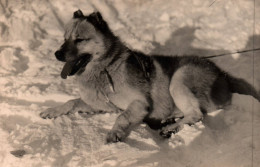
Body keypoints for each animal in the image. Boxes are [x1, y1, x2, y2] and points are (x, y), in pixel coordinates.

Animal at [39, 9, 260, 142]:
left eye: (79, 40)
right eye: (64, 39)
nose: (57, 54)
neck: (107, 67)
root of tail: (222, 74)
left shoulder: (139, 103)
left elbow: (122, 116)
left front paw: (115, 132)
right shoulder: (102, 105)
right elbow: (72, 102)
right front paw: (52, 110)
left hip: (179, 79)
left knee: (196, 114)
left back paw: (171, 128)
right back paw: (167, 122)